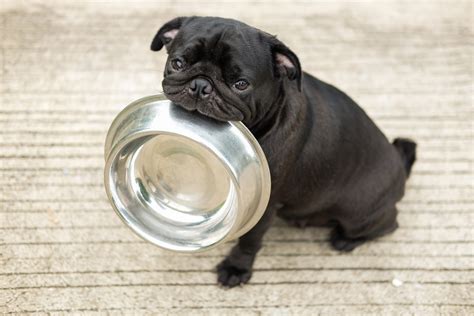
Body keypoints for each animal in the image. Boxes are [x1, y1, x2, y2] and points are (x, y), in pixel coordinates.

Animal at [150, 17, 416, 288]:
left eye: (241, 84)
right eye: (177, 63)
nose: (201, 85)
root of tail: (399, 165)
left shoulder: (265, 206)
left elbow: (250, 240)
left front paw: (237, 267)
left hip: (358, 216)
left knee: (388, 224)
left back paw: (345, 239)